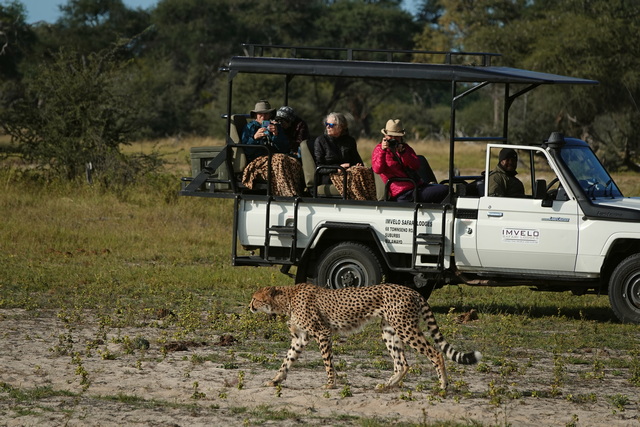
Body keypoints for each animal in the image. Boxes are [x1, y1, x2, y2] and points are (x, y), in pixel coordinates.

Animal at [249, 283, 482, 390]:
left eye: (255, 299)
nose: (250, 306)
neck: (286, 299)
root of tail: (412, 291)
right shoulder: (301, 338)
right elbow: (287, 360)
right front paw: (275, 379)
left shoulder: (323, 333)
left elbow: (327, 362)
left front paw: (330, 384)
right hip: (389, 331)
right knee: (403, 363)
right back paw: (387, 385)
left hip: (405, 328)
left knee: (435, 353)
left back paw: (443, 386)